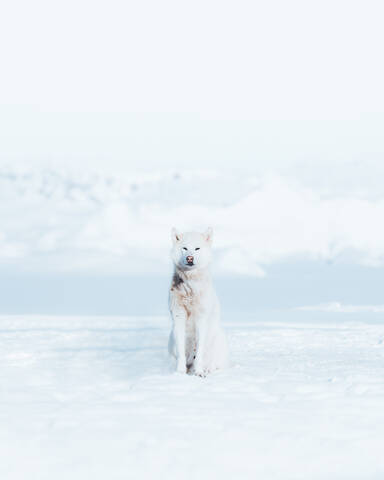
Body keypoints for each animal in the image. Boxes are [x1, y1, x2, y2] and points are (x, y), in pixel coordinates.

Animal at [168, 227, 228, 376]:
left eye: (197, 248)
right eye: (184, 248)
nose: (190, 258)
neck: (190, 288)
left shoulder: (202, 319)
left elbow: (199, 351)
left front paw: (199, 372)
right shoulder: (179, 316)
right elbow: (181, 351)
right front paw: (180, 372)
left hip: (217, 338)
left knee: (214, 364)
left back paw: (207, 369)